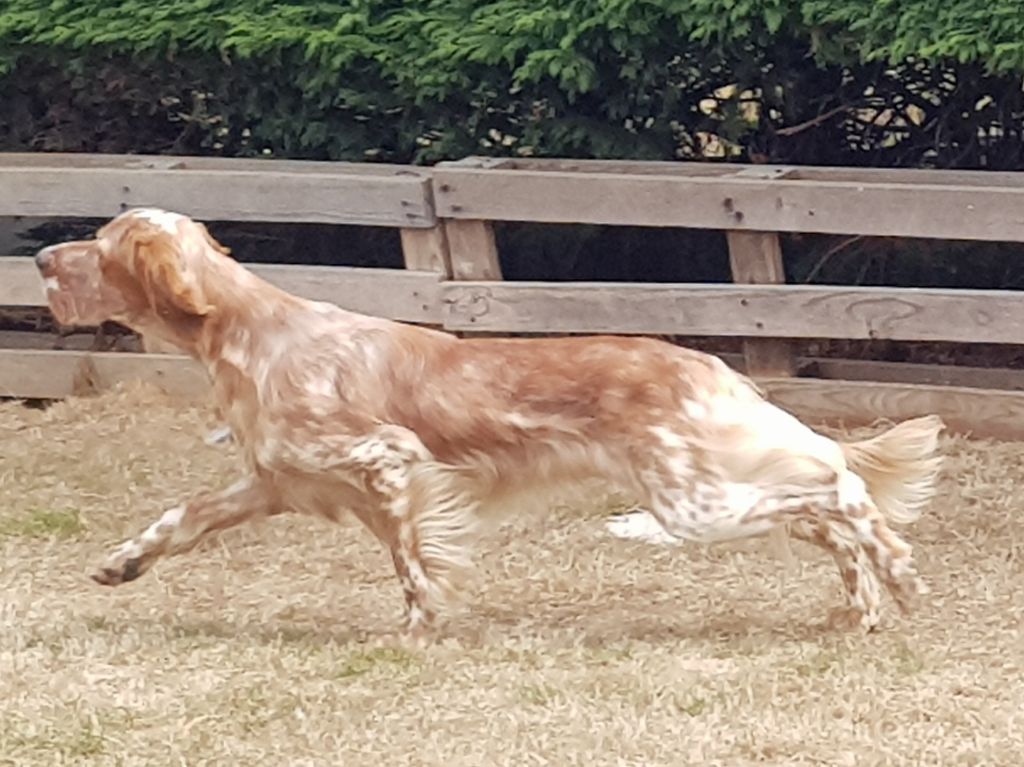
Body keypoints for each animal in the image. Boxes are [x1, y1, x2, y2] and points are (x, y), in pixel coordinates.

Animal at [34, 206, 942, 630]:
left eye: (100, 245)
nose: (39, 255)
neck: (252, 333)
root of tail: (703, 361)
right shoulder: (273, 480)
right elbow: (180, 517)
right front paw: (122, 563)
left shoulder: (387, 459)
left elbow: (408, 561)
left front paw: (418, 627)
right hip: (707, 489)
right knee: (830, 510)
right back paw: (865, 604)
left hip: (694, 501)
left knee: (841, 488)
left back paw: (900, 576)